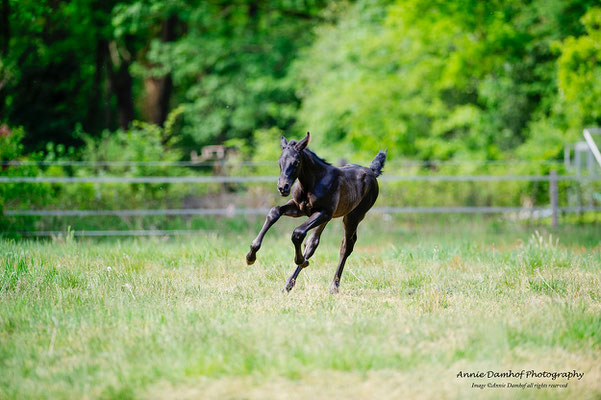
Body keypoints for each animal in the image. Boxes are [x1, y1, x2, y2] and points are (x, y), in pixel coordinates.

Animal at [246, 133, 386, 292]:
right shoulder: (299, 208)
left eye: (296, 162)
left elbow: (298, 233)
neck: (313, 182)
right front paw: (250, 256)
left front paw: (301, 260)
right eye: (279, 161)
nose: (283, 187)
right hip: (328, 219)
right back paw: (288, 285)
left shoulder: (323, 213)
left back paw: (333, 286)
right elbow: (274, 212)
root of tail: (371, 171)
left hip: (352, 217)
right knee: (313, 242)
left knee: (346, 246)